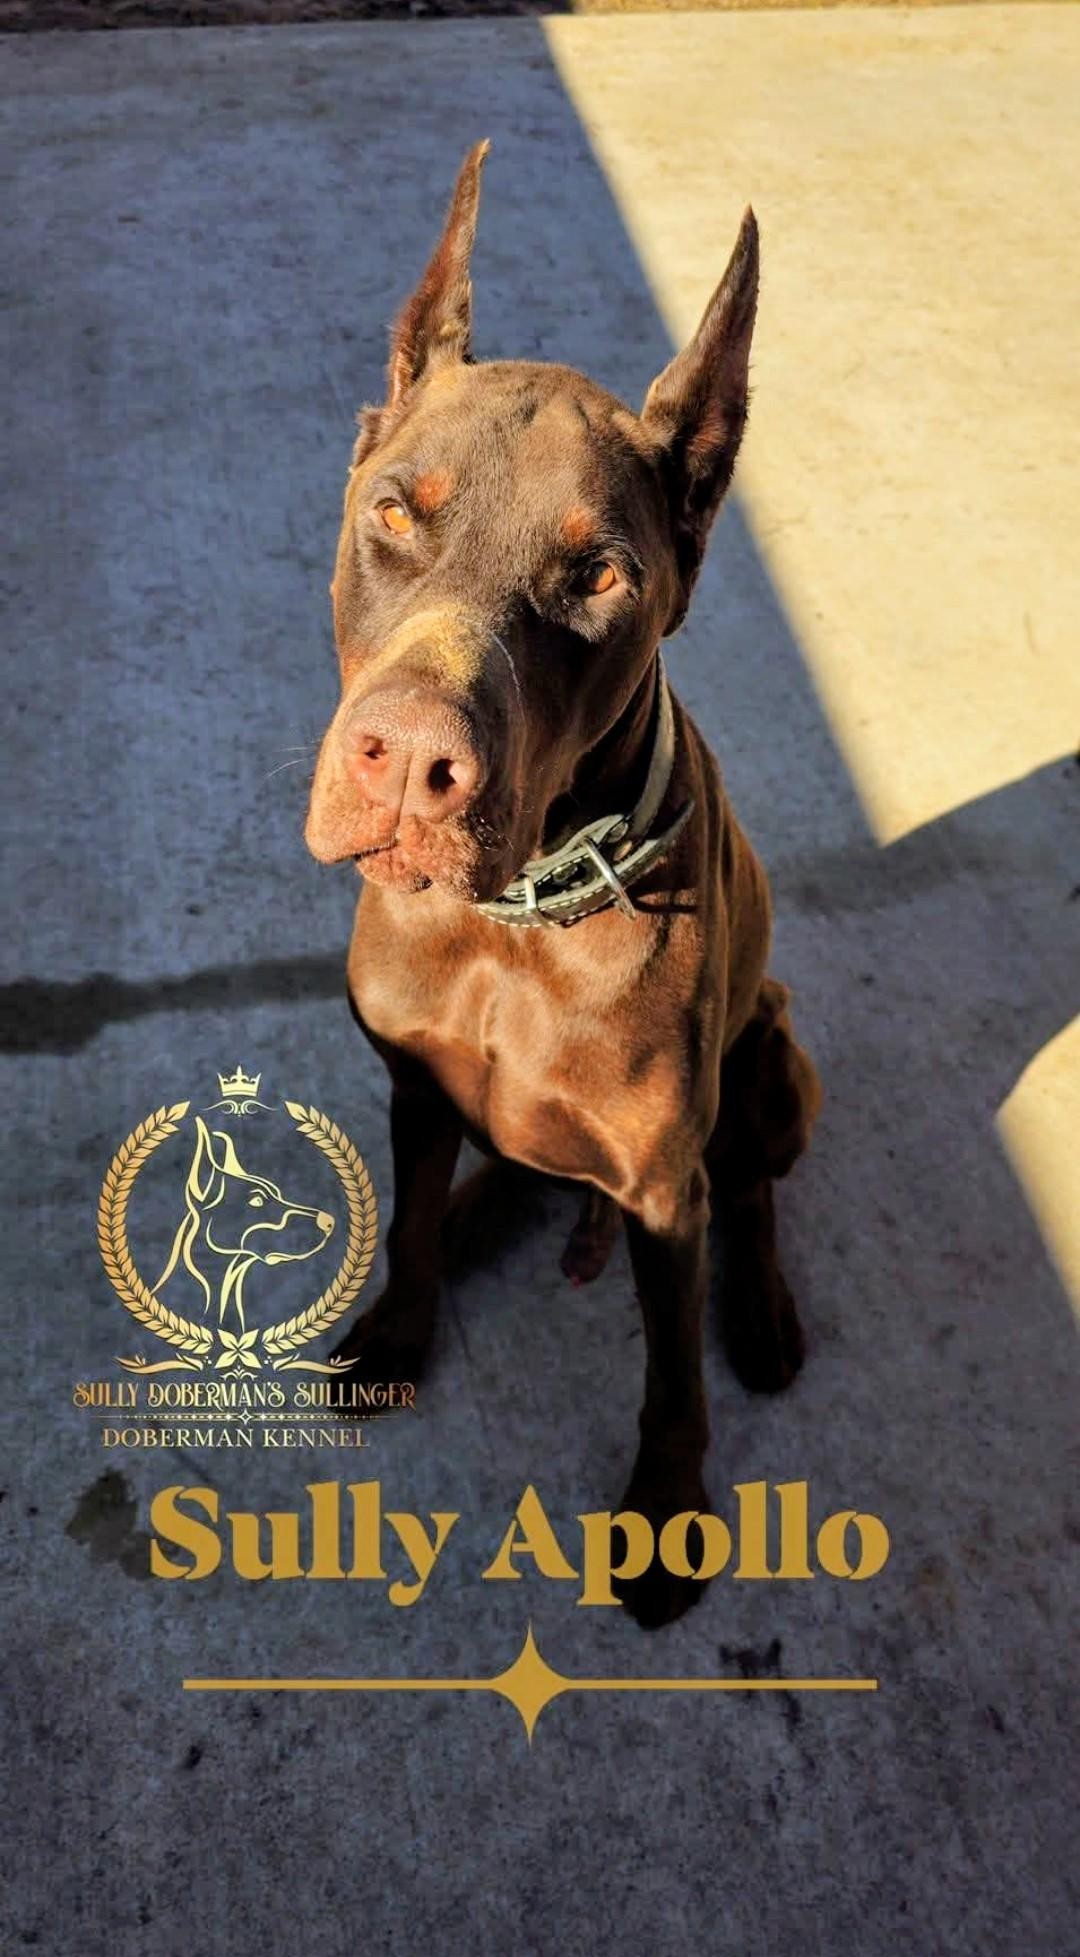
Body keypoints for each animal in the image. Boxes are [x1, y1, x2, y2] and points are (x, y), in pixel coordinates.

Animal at [306, 143, 821, 1626]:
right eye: (393, 510)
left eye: (597, 575)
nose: (409, 764)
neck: (520, 918)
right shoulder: (413, 1080)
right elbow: (414, 1222)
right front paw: (402, 1325)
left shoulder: (659, 1186)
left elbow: (670, 1375)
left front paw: (665, 1519)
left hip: (774, 1059)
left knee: (749, 1189)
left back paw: (762, 1311)